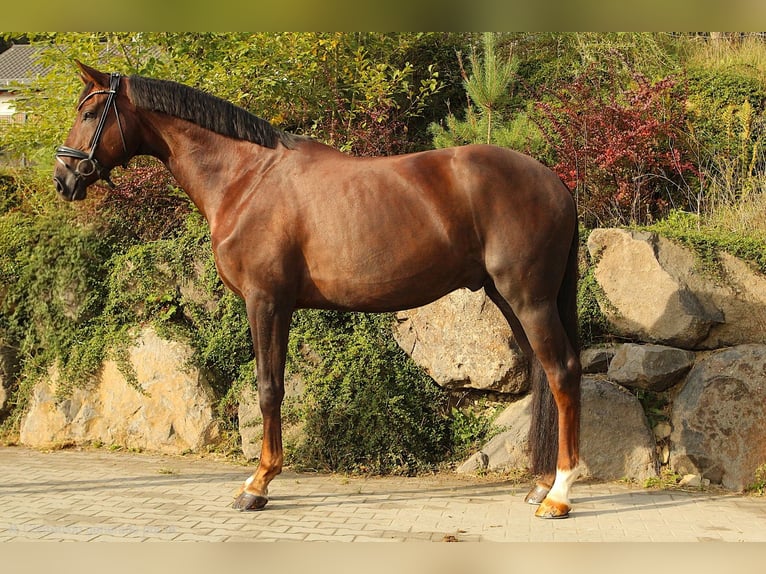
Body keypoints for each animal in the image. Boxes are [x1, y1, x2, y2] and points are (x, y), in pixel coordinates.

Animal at [54, 62, 582, 519]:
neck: (246, 179)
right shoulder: (277, 305)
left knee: (561, 374)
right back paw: (539, 485)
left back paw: (559, 494)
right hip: (507, 298)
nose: (63, 180)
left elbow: (269, 388)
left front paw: (258, 484)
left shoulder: (266, 302)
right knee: (544, 375)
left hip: (529, 299)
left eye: (88, 114)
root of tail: (555, 182)